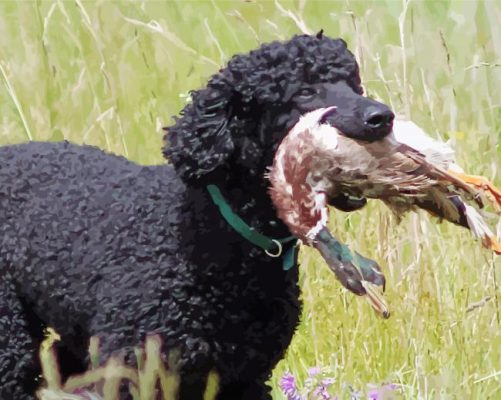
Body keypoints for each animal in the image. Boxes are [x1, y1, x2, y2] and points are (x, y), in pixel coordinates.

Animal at [0, 32, 392, 400]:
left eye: (353, 84)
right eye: (305, 92)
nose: (382, 118)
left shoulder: (244, 377)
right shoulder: (134, 371)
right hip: (12, 337)